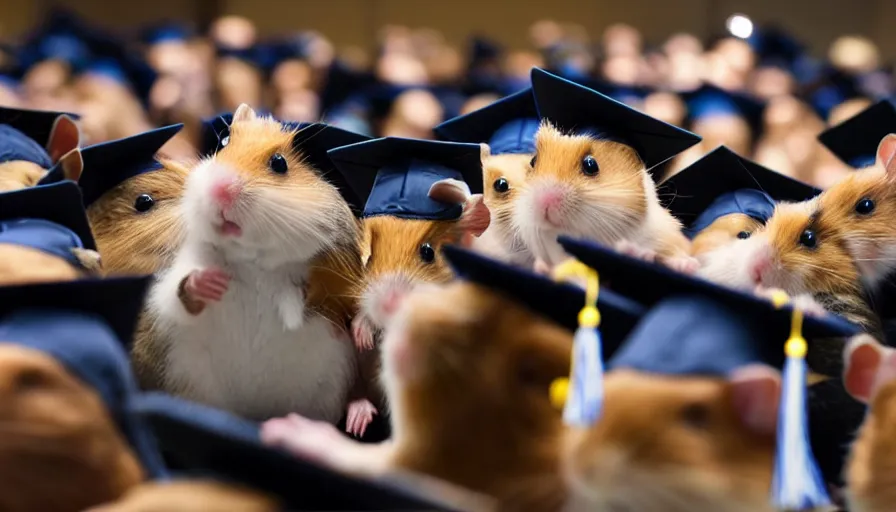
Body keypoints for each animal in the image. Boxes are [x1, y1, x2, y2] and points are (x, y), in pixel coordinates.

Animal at [138, 105, 362, 424]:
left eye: (279, 163)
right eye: (223, 143)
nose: (220, 189)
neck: (252, 261)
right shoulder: (183, 270)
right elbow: (180, 290)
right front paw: (211, 282)